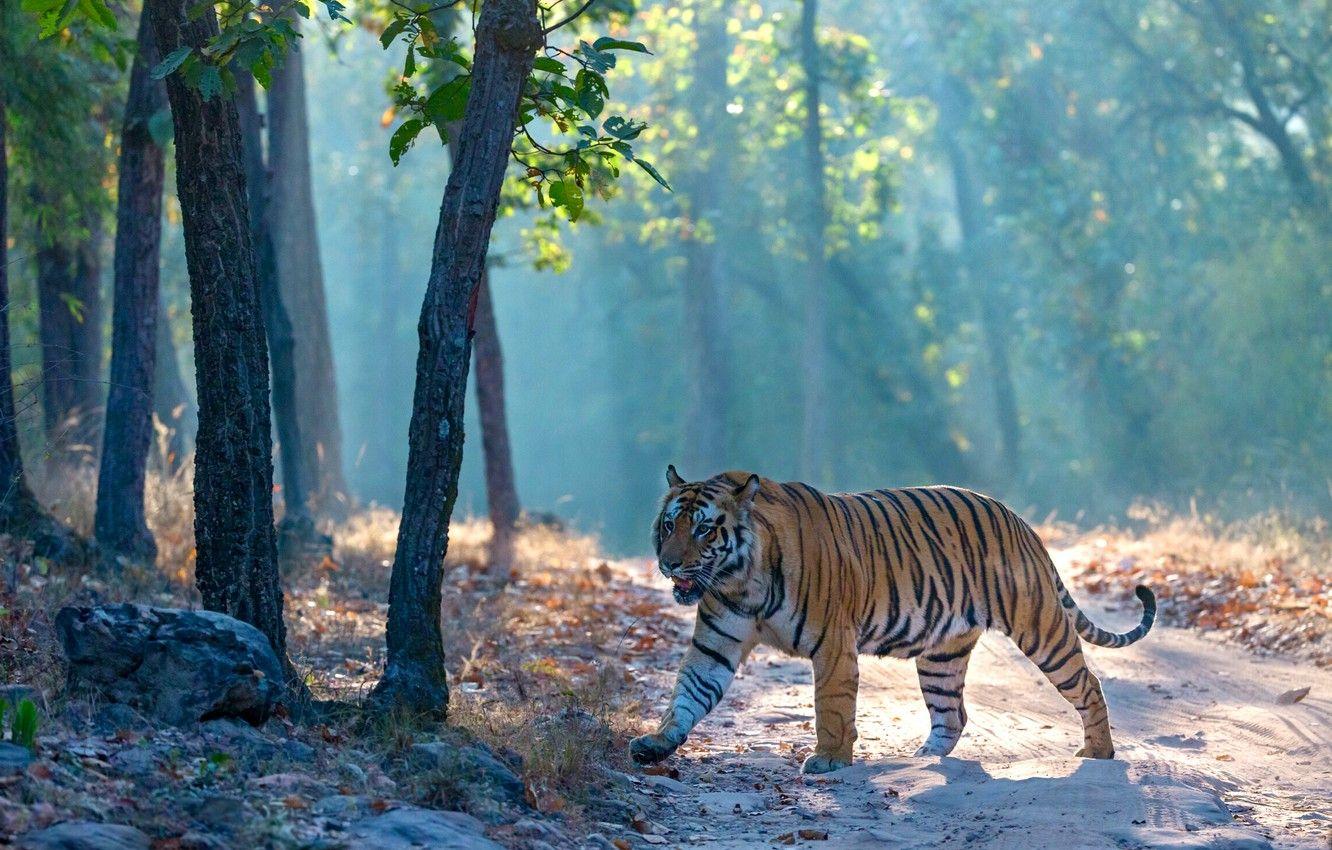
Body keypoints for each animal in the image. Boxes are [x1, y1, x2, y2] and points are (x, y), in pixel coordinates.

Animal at [629, 467, 1156, 774]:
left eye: (704, 529)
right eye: (669, 525)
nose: (670, 564)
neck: (739, 580)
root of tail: (1019, 519)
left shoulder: (832, 644)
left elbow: (831, 706)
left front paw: (828, 760)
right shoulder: (715, 645)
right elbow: (688, 694)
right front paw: (656, 744)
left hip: (1040, 626)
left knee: (1087, 683)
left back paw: (1099, 752)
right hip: (942, 655)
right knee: (952, 712)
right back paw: (919, 761)